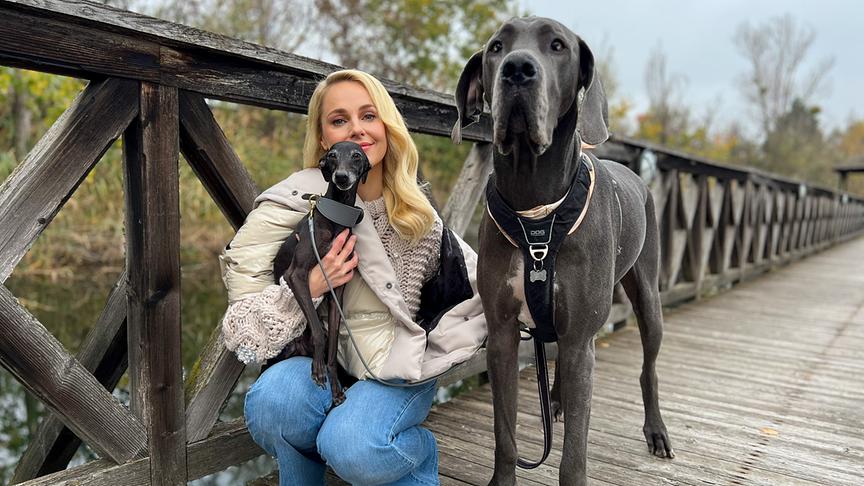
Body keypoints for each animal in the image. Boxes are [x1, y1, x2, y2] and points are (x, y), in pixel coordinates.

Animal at [274, 140, 372, 406]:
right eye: (332, 156)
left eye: (357, 156)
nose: (342, 177)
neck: (337, 217)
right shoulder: (296, 276)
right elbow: (318, 330)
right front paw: (318, 370)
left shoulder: (337, 292)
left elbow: (333, 344)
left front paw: (335, 388)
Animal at [452, 17, 676, 484]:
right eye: (496, 47)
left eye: (557, 45)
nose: (517, 69)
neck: (535, 205)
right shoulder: (502, 335)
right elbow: (505, 434)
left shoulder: (581, 341)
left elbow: (574, 454)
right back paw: (555, 400)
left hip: (648, 297)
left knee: (648, 369)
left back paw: (656, 431)